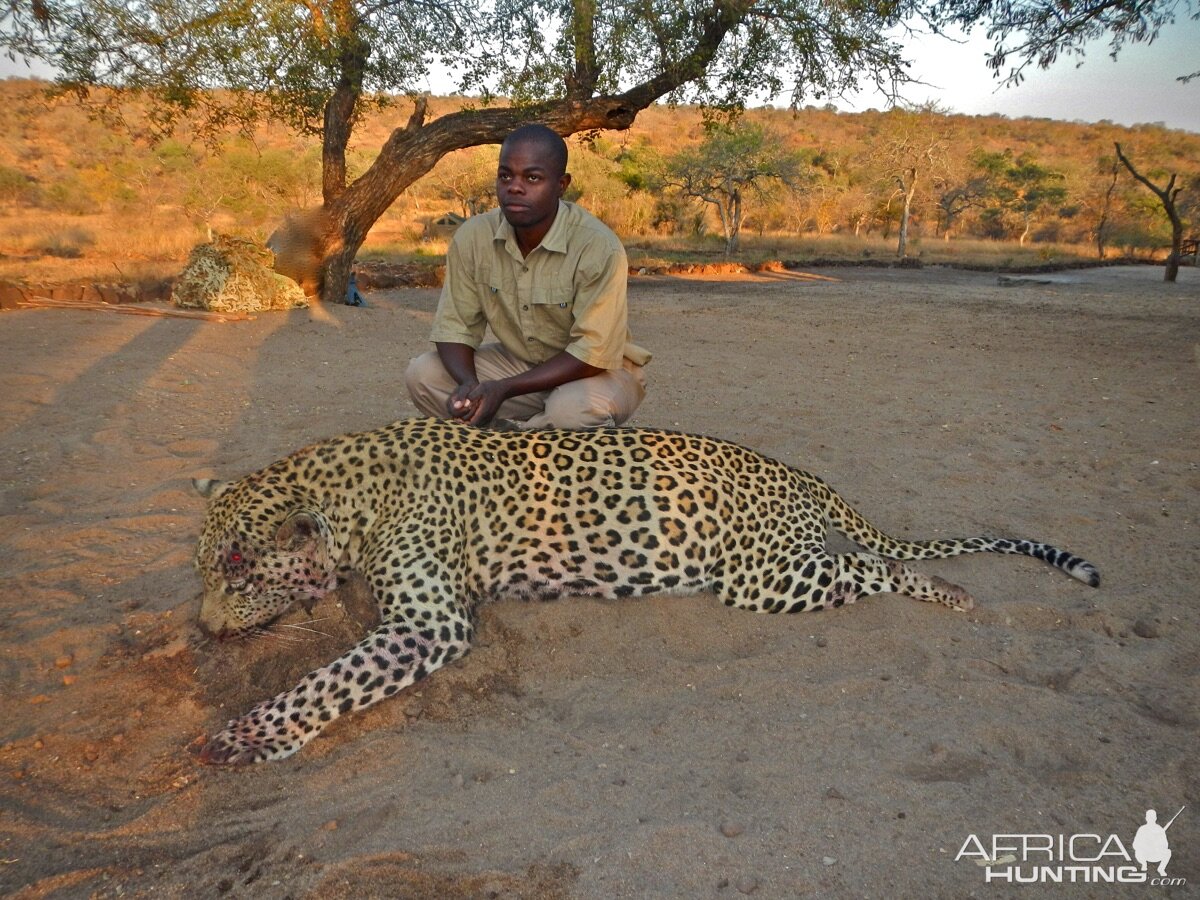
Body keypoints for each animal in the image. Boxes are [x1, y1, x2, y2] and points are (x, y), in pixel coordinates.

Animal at [192, 420, 1099, 763]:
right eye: (203, 566)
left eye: (237, 568)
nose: (202, 629)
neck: (351, 495)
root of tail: (799, 474)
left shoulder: (431, 622)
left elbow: (328, 679)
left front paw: (245, 737)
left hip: (764, 577)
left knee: (877, 569)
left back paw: (948, 591)